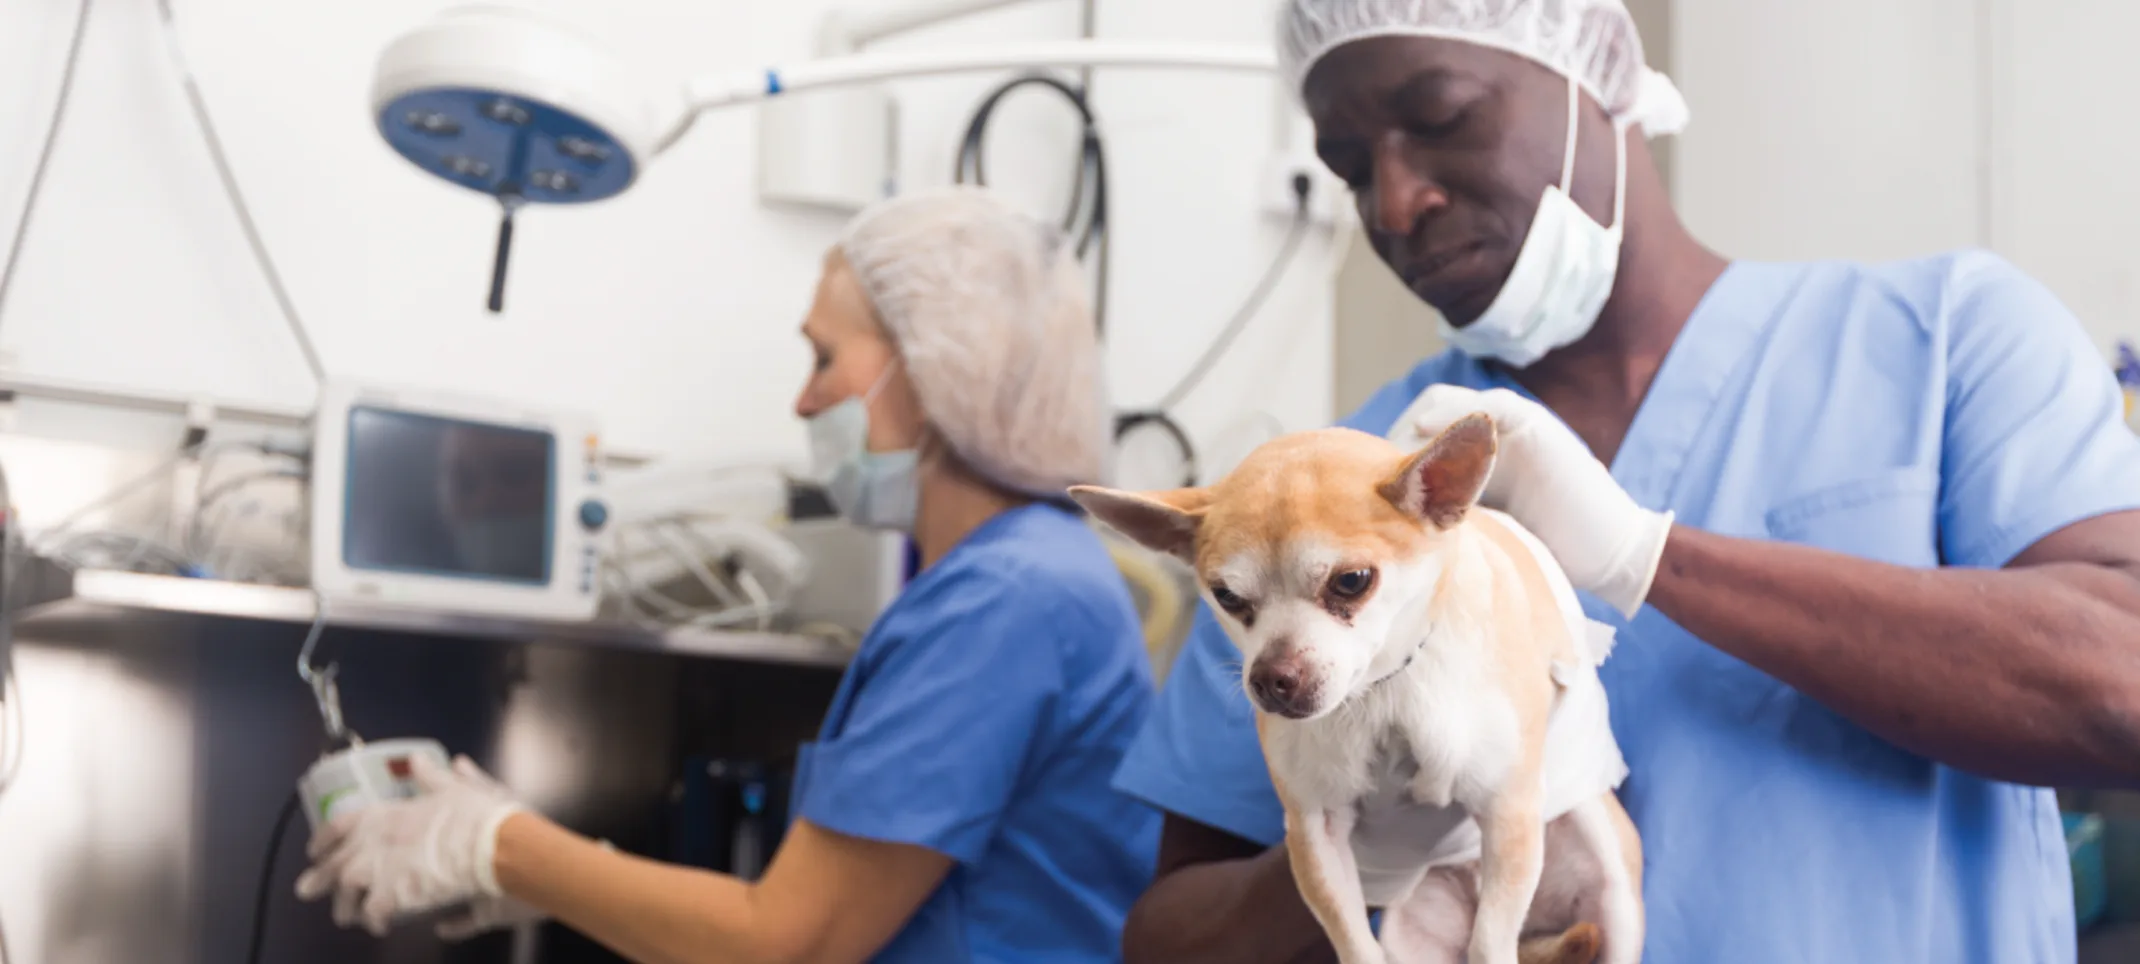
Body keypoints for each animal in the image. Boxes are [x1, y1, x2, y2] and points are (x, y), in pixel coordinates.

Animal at [1078, 415, 1643, 964]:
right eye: (1227, 597)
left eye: (1351, 581)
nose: (1271, 678)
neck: (1384, 690)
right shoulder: (1315, 833)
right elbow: (1352, 938)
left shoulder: (1509, 811)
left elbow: (1489, 942)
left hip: (1605, 878)